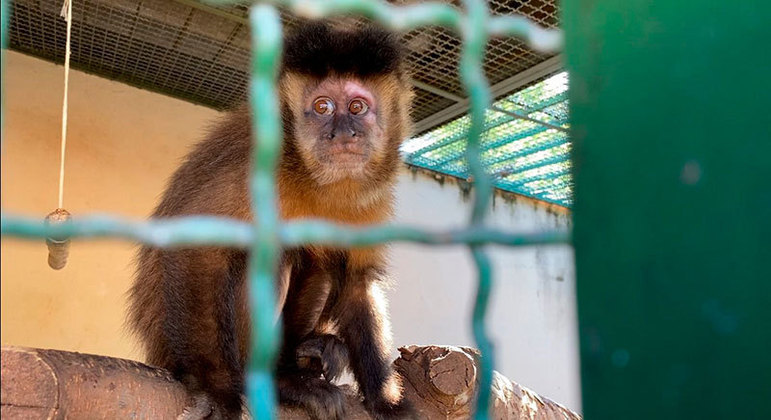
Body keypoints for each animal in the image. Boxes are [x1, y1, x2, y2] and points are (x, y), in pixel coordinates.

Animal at [128, 22, 416, 420]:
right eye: (323, 107)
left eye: (357, 107)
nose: (342, 133)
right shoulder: (254, 165)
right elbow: (198, 250)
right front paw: (215, 386)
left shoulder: (374, 198)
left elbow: (358, 282)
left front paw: (386, 400)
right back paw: (275, 381)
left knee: (322, 261)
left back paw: (306, 356)